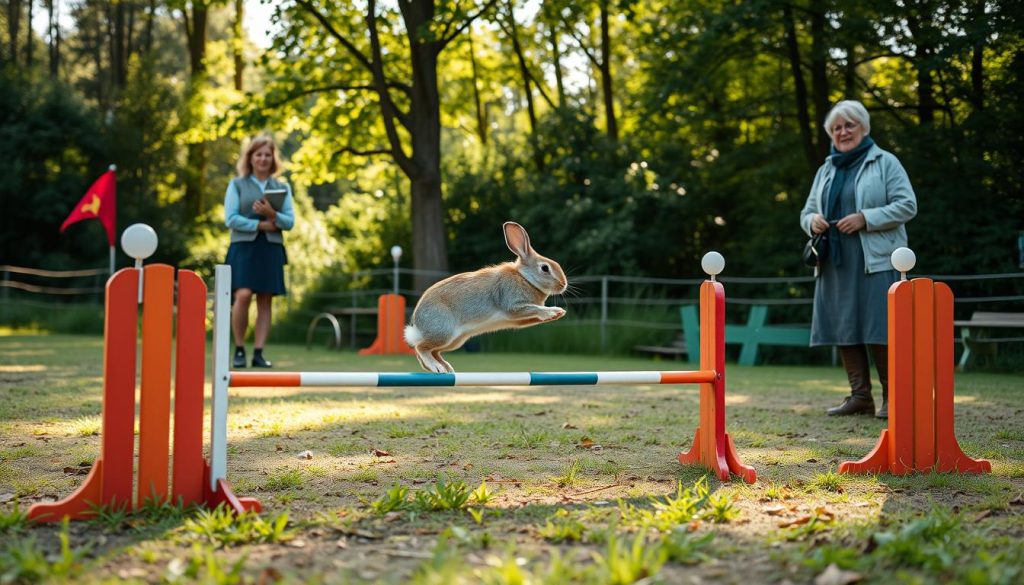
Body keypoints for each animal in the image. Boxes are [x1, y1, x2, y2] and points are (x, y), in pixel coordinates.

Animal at [403, 222, 569, 372]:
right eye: (545, 268)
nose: (563, 284)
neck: (525, 278)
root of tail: (417, 324)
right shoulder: (513, 305)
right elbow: (534, 308)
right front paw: (554, 311)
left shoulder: (518, 320)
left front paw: (557, 314)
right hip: (443, 331)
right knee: (421, 347)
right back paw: (437, 367)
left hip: (455, 340)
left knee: (433, 351)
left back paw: (445, 368)